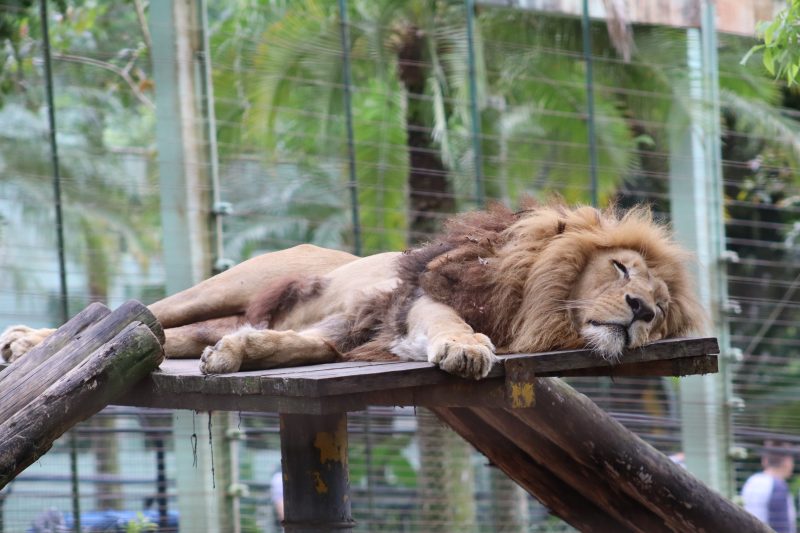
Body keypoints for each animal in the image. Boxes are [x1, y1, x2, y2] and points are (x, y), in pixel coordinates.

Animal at [0, 202, 704, 380]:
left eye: (662, 307)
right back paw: (27, 342)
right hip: (222, 287)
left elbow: (296, 349)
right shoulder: (422, 297)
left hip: (203, 320)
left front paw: (237, 355)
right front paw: (468, 351)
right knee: (142, 311)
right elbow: (456, 327)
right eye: (621, 270)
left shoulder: (351, 332)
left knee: (161, 335)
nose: (642, 310)